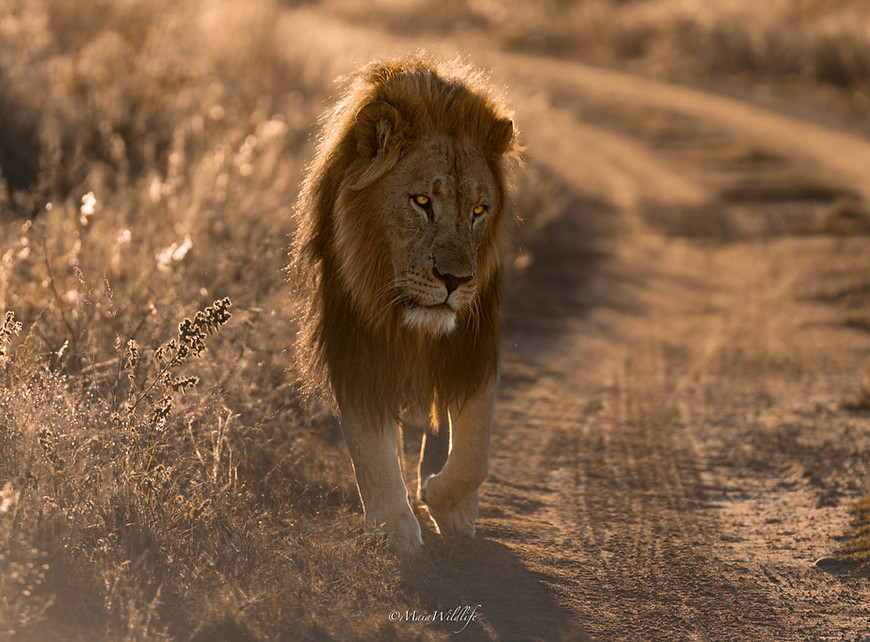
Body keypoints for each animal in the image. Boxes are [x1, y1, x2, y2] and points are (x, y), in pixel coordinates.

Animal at [289, 56, 516, 554]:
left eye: (478, 210)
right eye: (421, 201)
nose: (455, 281)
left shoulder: (475, 342)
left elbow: (475, 453)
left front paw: (445, 502)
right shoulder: (354, 338)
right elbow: (370, 446)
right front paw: (392, 526)